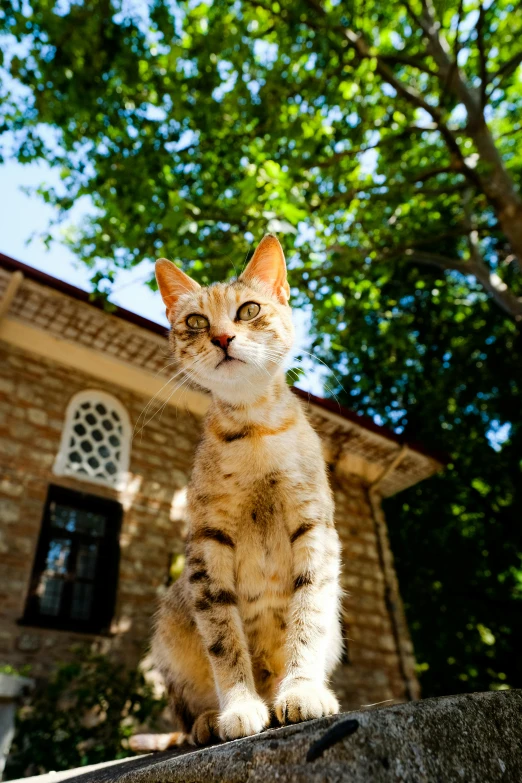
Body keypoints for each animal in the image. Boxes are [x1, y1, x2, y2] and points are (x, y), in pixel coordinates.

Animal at [129, 234, 342, 752]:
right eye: (196, 322)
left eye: (248, 310)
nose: (222, 338)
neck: (254, 428)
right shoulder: (207, 546)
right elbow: (224, 639)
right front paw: (240, 707)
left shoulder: (315, 529)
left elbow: (307, 617)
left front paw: (301, 690)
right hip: (171, 620)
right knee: (186, 713)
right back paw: (208, 719)